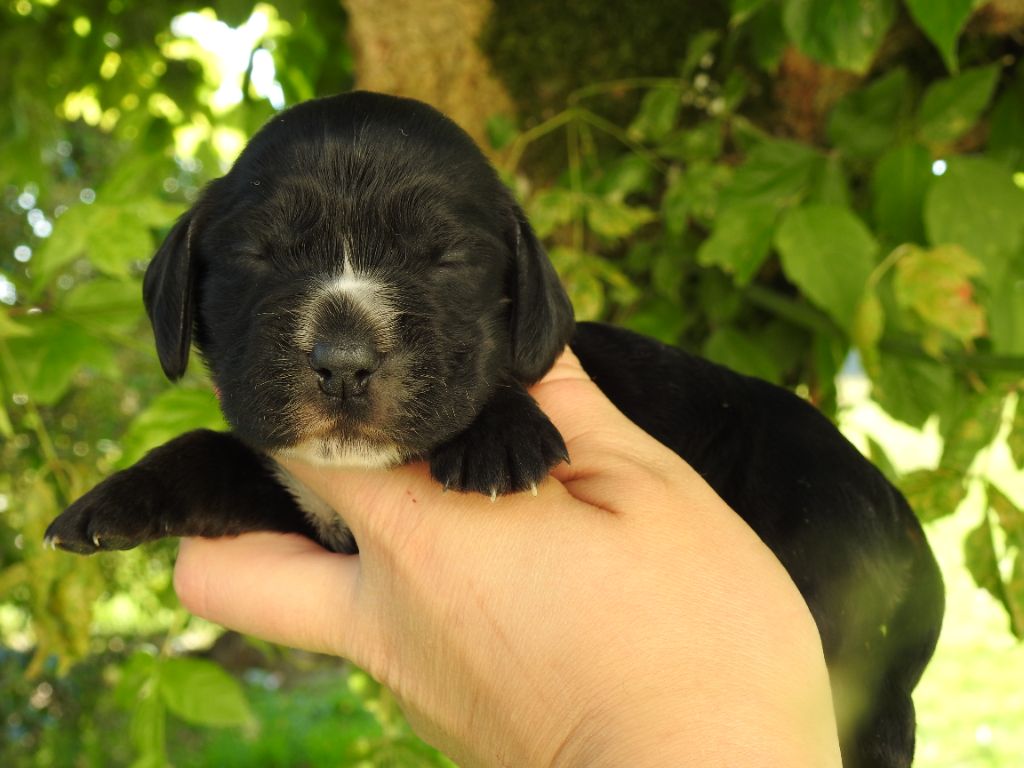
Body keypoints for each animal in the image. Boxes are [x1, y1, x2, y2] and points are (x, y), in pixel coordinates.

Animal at [46, 91, 942, 768]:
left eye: (446, 260)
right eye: (257, 256)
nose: (341, 361)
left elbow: (500, 376)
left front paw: (498, 437)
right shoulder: (300, 494)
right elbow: (213, 451)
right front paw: (113, 502)